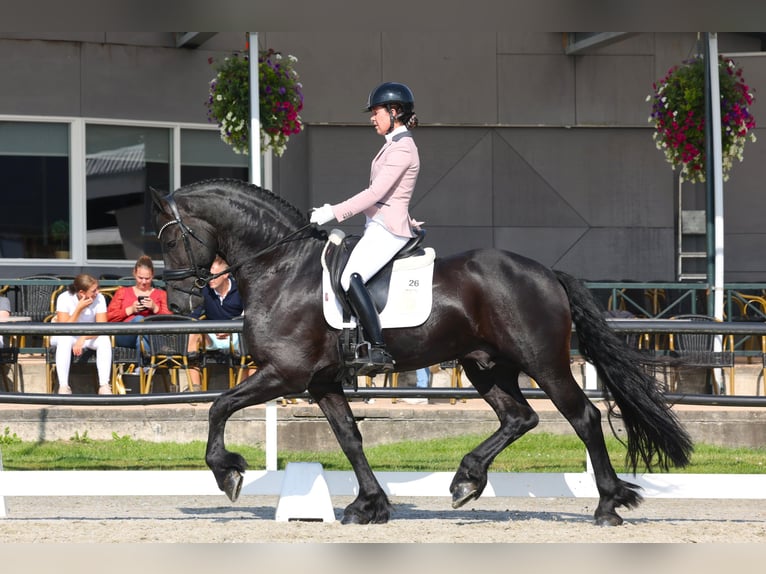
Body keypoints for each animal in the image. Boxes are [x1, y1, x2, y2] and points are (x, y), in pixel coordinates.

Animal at [153, 179, 692, 528]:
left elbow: (218, 405)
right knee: (519, 417)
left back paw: (608, 506)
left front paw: (227, 472)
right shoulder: (320, 381)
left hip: (544, 363)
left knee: (584, 417)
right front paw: (369, 505)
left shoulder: (285, 373)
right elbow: (350, 439)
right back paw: (466, 481)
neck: (282, 266)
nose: (177, 303)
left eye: (173, 237)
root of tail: (546, 272)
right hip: (485, 366)